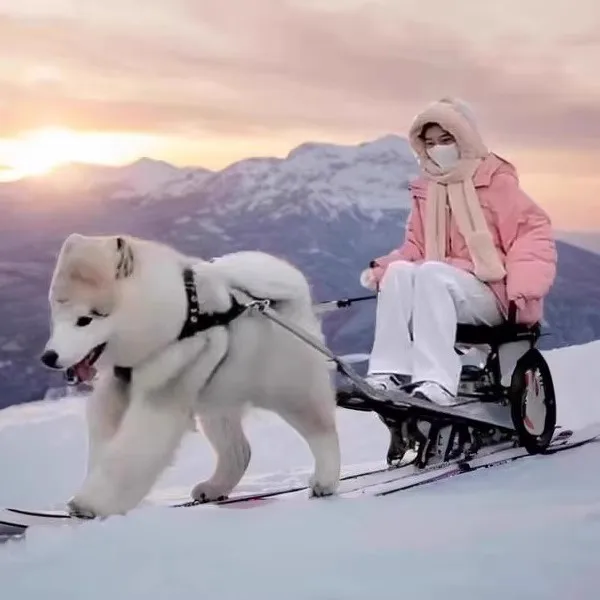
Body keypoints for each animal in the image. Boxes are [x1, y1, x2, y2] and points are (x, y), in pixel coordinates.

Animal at [41, 232, 342, 516]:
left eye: (85, 320)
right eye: (56, 314)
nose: (49, 357)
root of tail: (290, 295)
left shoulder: (163, 389)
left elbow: (130, 451)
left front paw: (89, 506)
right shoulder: (116, 387)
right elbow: (104, 440)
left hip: (287, 387)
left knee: (322, 429)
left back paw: (324, 481)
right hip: (218, 399)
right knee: (239, 451)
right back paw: (213, 488)